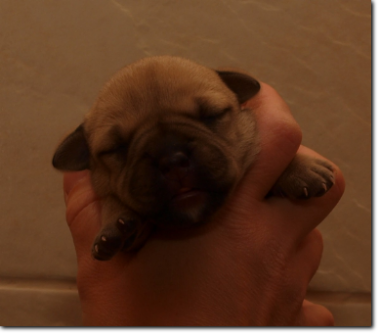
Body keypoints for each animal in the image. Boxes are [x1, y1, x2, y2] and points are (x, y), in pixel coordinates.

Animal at [52, 55, 334, 262]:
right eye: (117, 147)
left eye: (212, 115)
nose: (172, 160)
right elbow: (113, 202)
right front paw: (117, 228)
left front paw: (301, 168)